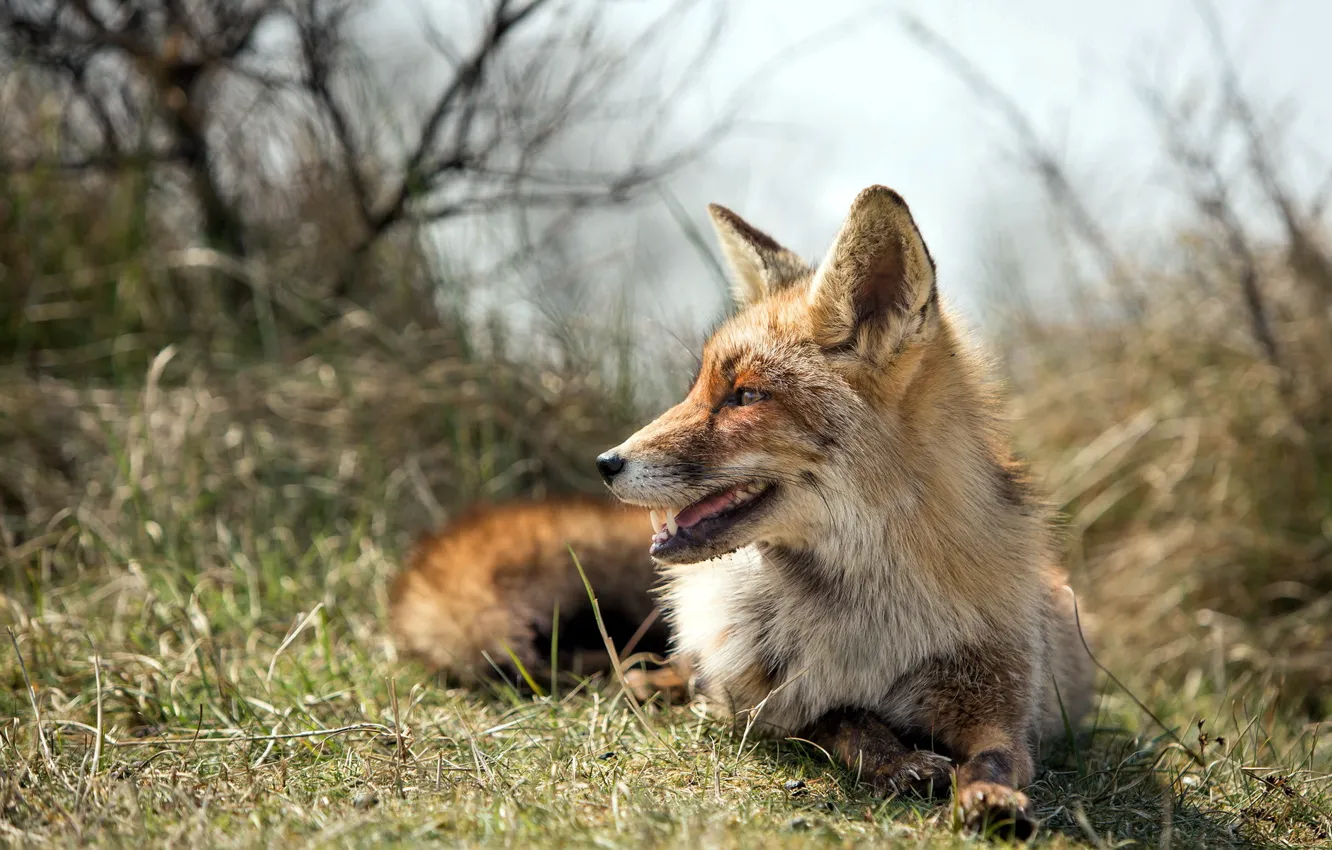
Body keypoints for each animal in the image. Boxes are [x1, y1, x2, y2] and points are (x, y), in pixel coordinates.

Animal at [390, 185, 1093, 839]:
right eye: (698, 386)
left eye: (745, 396)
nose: (606, 462)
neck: (869, 614)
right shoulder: (760, 701)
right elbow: (844, 720)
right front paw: (899, 759)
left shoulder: (1003, 700)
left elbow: (998, 757)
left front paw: (990, 799)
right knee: (652, 665)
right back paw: (644, 682)